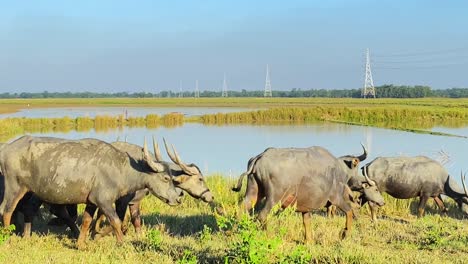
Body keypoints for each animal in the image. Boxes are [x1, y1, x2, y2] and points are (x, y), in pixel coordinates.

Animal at [0, 136, 182, 248]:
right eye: (166, 178)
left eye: (172, 176)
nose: (178, 199)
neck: (120, 169)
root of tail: (7, 148)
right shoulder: (104, 201)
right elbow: (116, 221)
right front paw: (121, 243)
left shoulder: (91, 201)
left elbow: (87, 221)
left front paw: (81, 244)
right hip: (15, 187)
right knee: (7, 210)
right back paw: (7, 237)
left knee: (26, 210)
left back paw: (26, 236)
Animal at [231, 145, 384, 242]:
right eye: (376, 189)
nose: (382, 202)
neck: (340, 171)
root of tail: (260, 157)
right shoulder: (336, 198)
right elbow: (349, 211)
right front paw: (345, 234)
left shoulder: (306, 208)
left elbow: (307, 222)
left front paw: (308, 241)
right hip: (273, 198)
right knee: (262, 215)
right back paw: (269, 236)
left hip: (253, 192)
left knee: (240, 210)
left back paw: (232, 232)